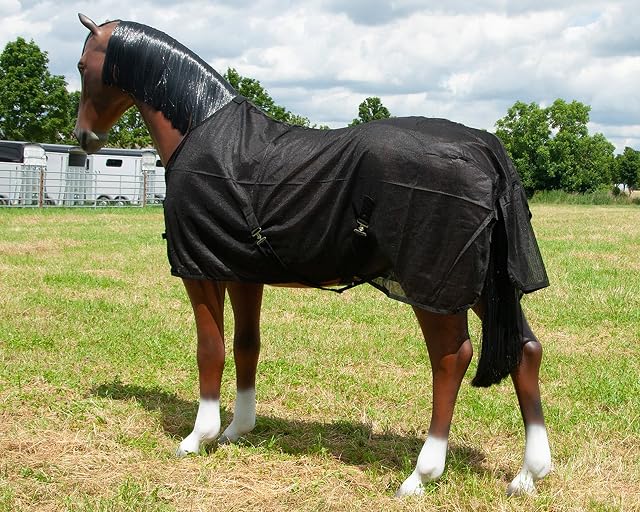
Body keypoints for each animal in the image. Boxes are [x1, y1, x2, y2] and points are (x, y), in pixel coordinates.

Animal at [74, 14, 552, 497]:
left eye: (81, 65)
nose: (84, 138)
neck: (201, 128)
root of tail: (483, 149)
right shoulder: (242, 273)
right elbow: (247, 346)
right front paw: (236, 429)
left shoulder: (200, 271)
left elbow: (210, 349)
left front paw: (198, 437)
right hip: (488, 288)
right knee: (526, 350)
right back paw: (528, 474)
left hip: (435, 291)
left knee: (452, 359)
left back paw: (422, 473)